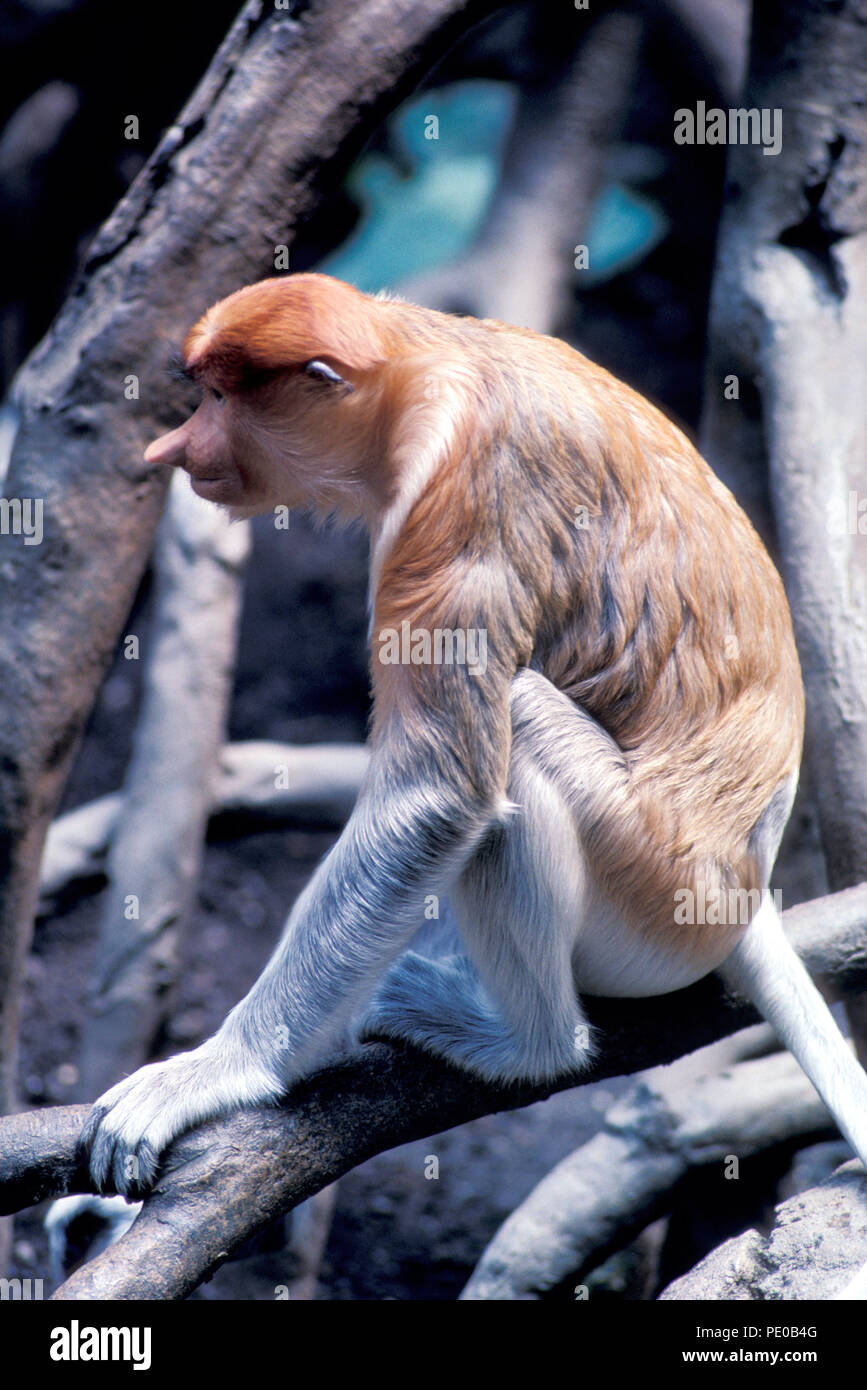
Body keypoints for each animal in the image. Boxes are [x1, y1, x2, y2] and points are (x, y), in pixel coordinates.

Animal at [83, 271, 867, 1289]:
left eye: (218, 398)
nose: (171, 449)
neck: (427, 365)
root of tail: (747, 887)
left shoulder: (456, 508)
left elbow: (436, 798)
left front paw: (214, 1071)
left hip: (654, 906)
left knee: (519, 729)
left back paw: (521, 1043)